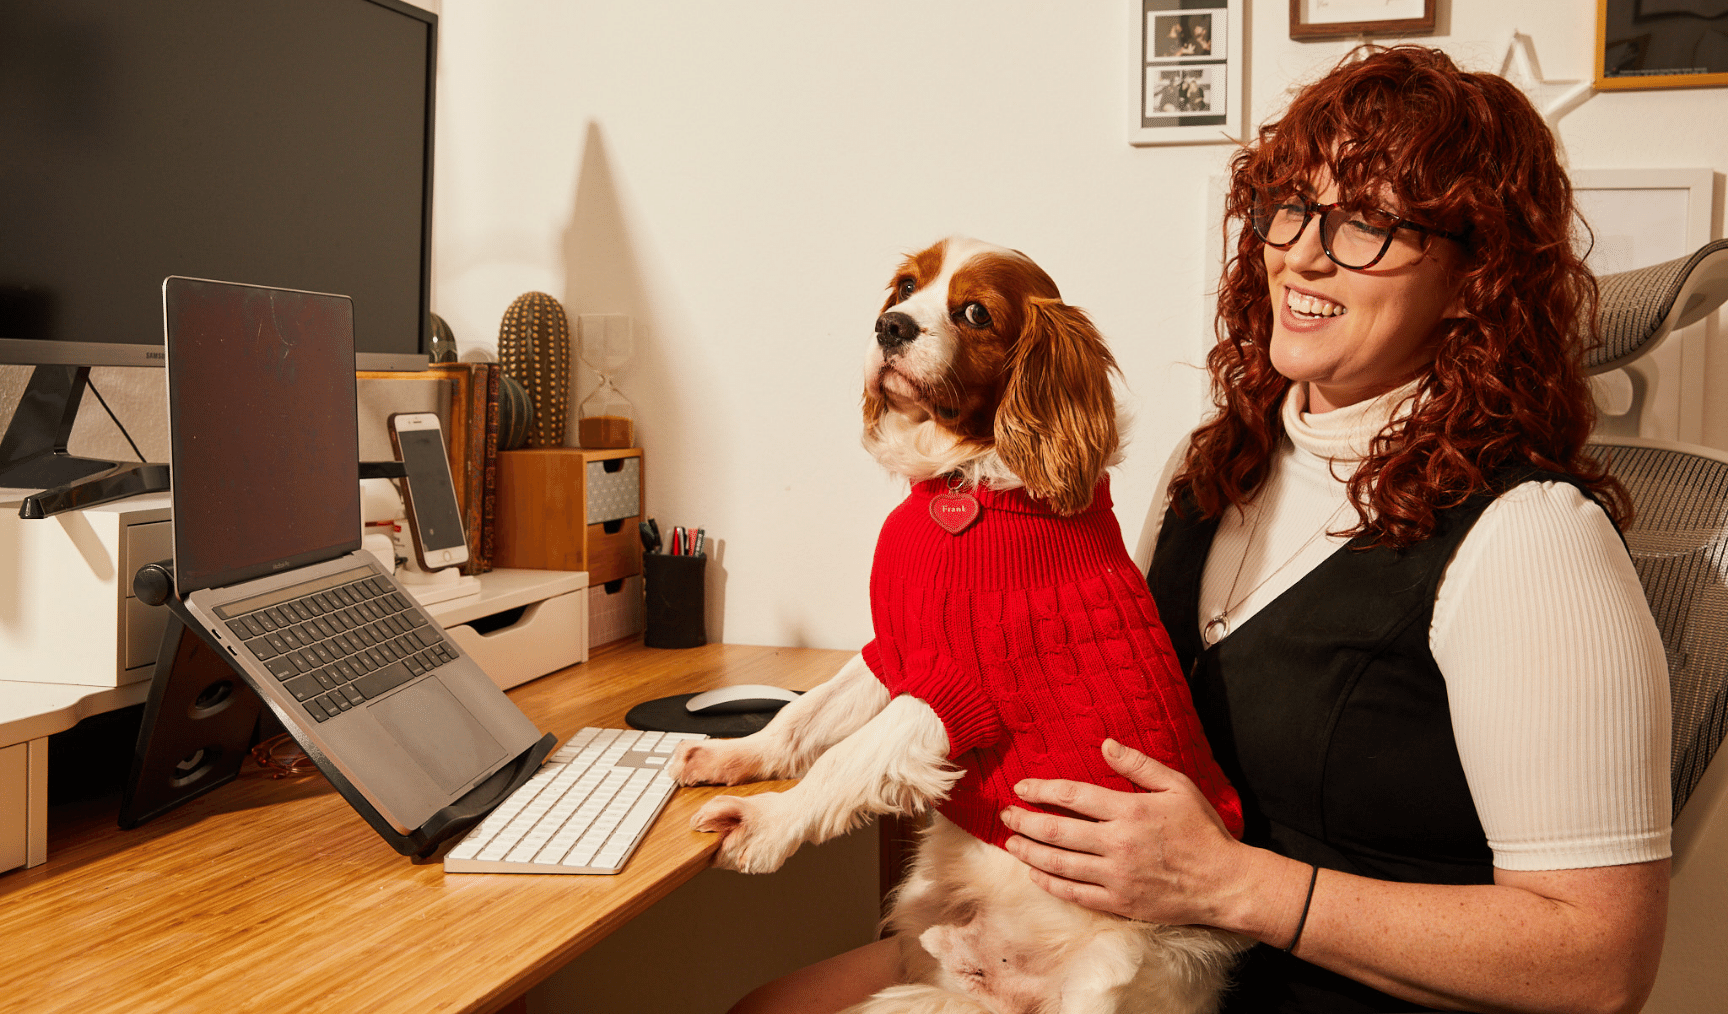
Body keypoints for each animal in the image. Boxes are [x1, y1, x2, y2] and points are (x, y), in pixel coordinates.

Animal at [667, 240, 1251, 1014]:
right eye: (905, 287)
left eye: (975, 312)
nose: (890, 327)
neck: (965, 481)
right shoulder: (897, 650)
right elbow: (803, 719)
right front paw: (734, 757)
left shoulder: (961, 687)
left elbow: (843, 759)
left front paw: (765, 826)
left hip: (1115, 976)